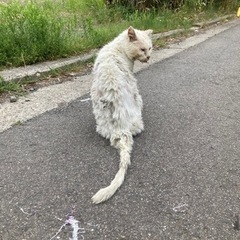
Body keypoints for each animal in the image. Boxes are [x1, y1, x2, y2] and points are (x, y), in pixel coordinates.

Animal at [90, 26, 152, 203]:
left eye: (150, 48)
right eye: (142, 49)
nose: (149, 57)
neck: (118, 48)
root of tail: (120, 129)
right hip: (138, 98)